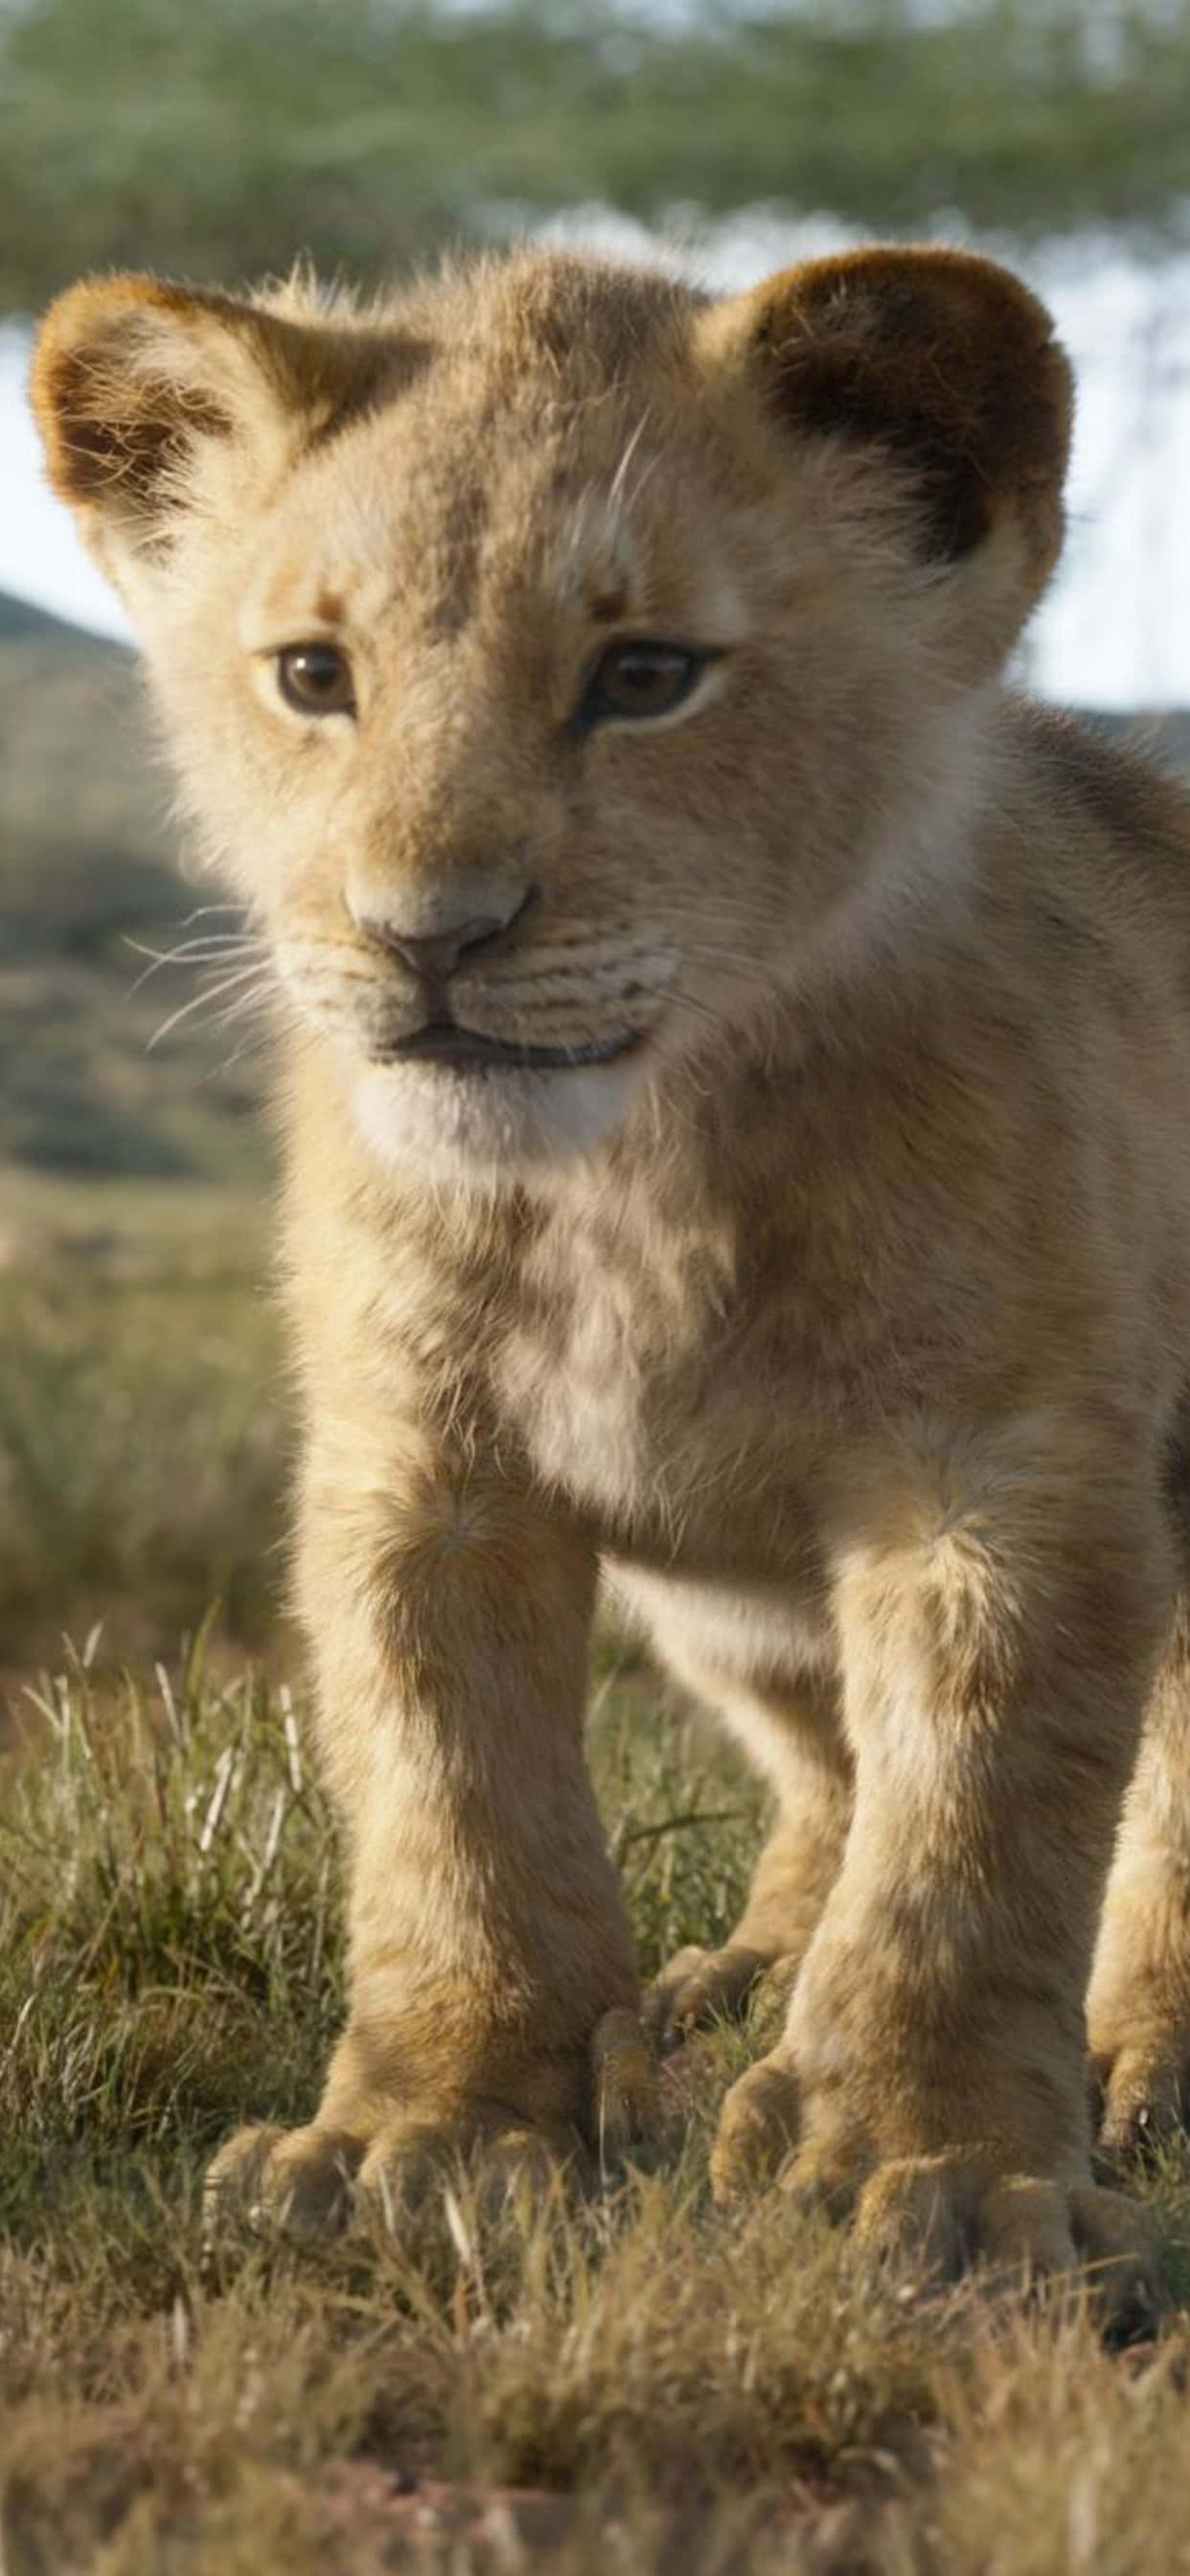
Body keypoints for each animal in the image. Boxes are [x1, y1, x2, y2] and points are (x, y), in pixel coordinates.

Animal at [31, 240, 1190, 2316]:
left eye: (644, 676)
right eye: (313, 676)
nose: (428, 939)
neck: (632, 1176)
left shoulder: (1009, 1474)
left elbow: (977, 1837)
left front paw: (947, 2174)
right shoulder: (418, 1466)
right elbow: (453, 1803)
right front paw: (426, 2139)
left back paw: (1130, 2054)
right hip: (721, 1609)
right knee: (819, 1776)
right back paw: (741, 1990)